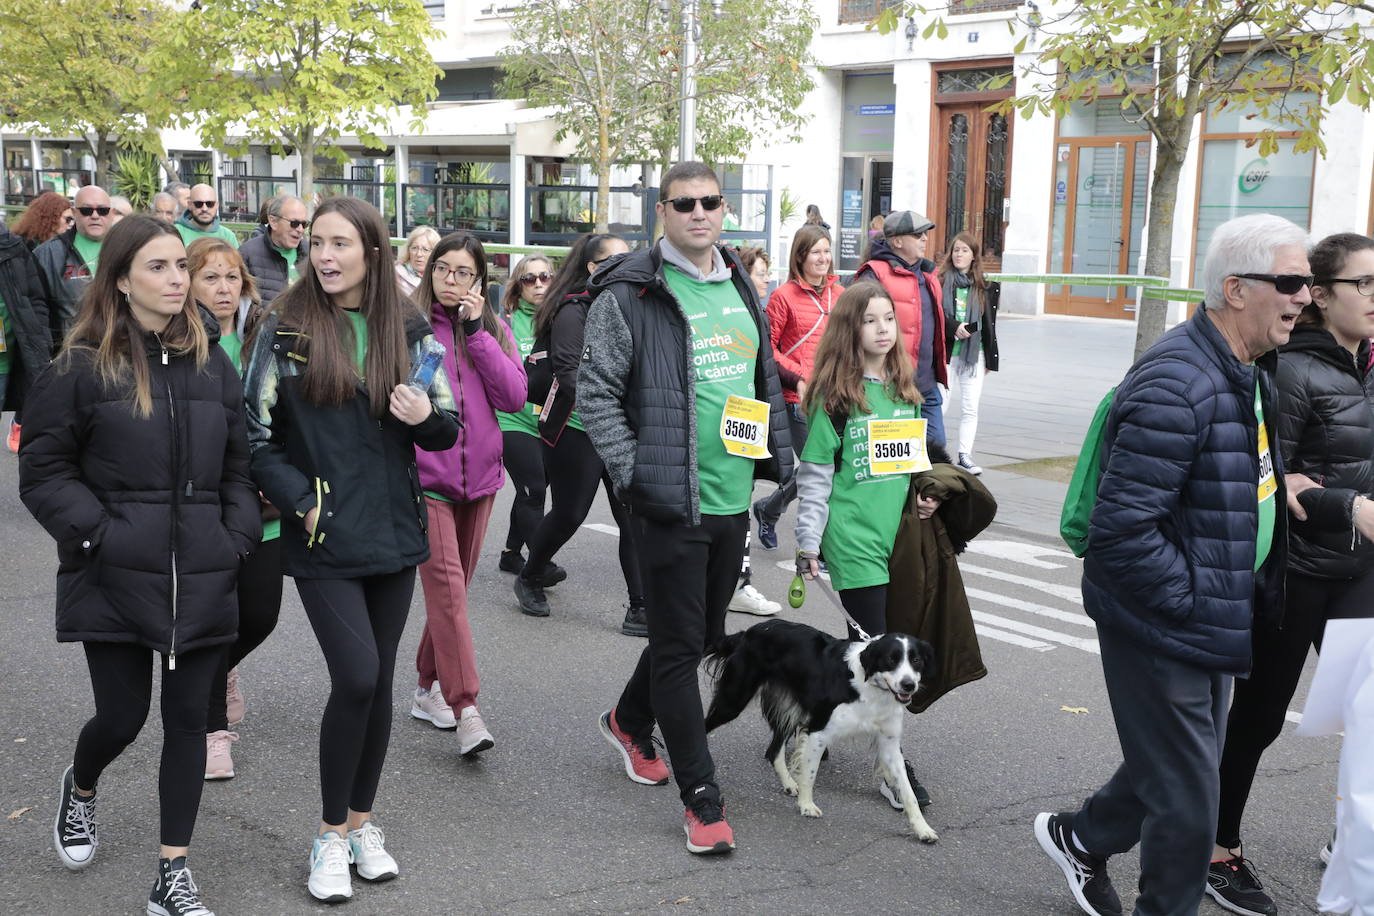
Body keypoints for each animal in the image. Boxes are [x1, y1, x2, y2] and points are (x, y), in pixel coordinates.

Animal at [703, 620, 939, 840]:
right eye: (891, 659)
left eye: (916, 660)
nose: (908, 685)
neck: (868, 687)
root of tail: (748, 633)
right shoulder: (818, 731)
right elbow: (810, 773)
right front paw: (806, 805)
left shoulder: (889, 744)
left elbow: (908, 791)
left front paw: (922, 828)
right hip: (732, 701)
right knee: (705, 726)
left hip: (790, 710)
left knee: (773, 750)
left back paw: (789, 783)